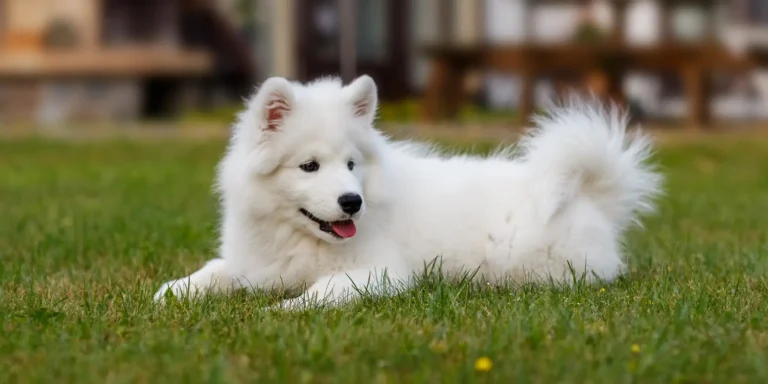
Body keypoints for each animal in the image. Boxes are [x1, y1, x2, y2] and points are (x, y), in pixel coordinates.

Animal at [153, 74, 664, 308]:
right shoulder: (252, 264)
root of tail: (591, 199)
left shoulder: (380, 271)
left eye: (352, 165)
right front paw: (172, 291)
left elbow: (325, 290)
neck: (298, 238)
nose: (352, 202)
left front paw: (287, 308)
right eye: (309, 166)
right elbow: (213, 272)